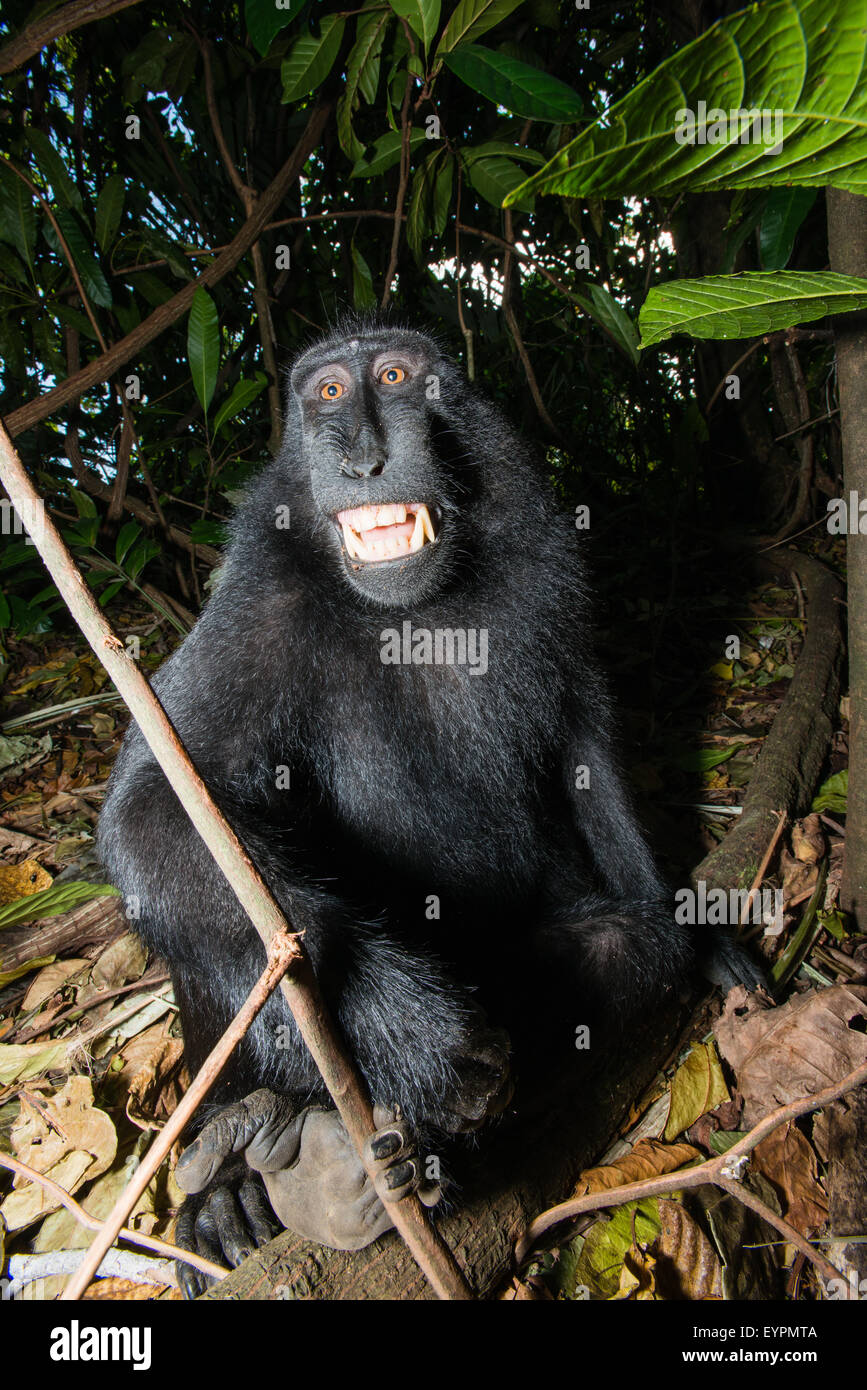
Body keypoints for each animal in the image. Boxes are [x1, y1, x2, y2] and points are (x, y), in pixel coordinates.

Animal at [97, 318, 754, 1296]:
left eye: (399, 377)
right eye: (328, 392)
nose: (360, 455)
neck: (420, 611)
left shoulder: (548, 586)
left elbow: (586, 754)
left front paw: (703, 941)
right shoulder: (257, 606)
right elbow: (162, 806)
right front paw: (394, 1025)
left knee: (618, 948)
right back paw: (251, 1157)